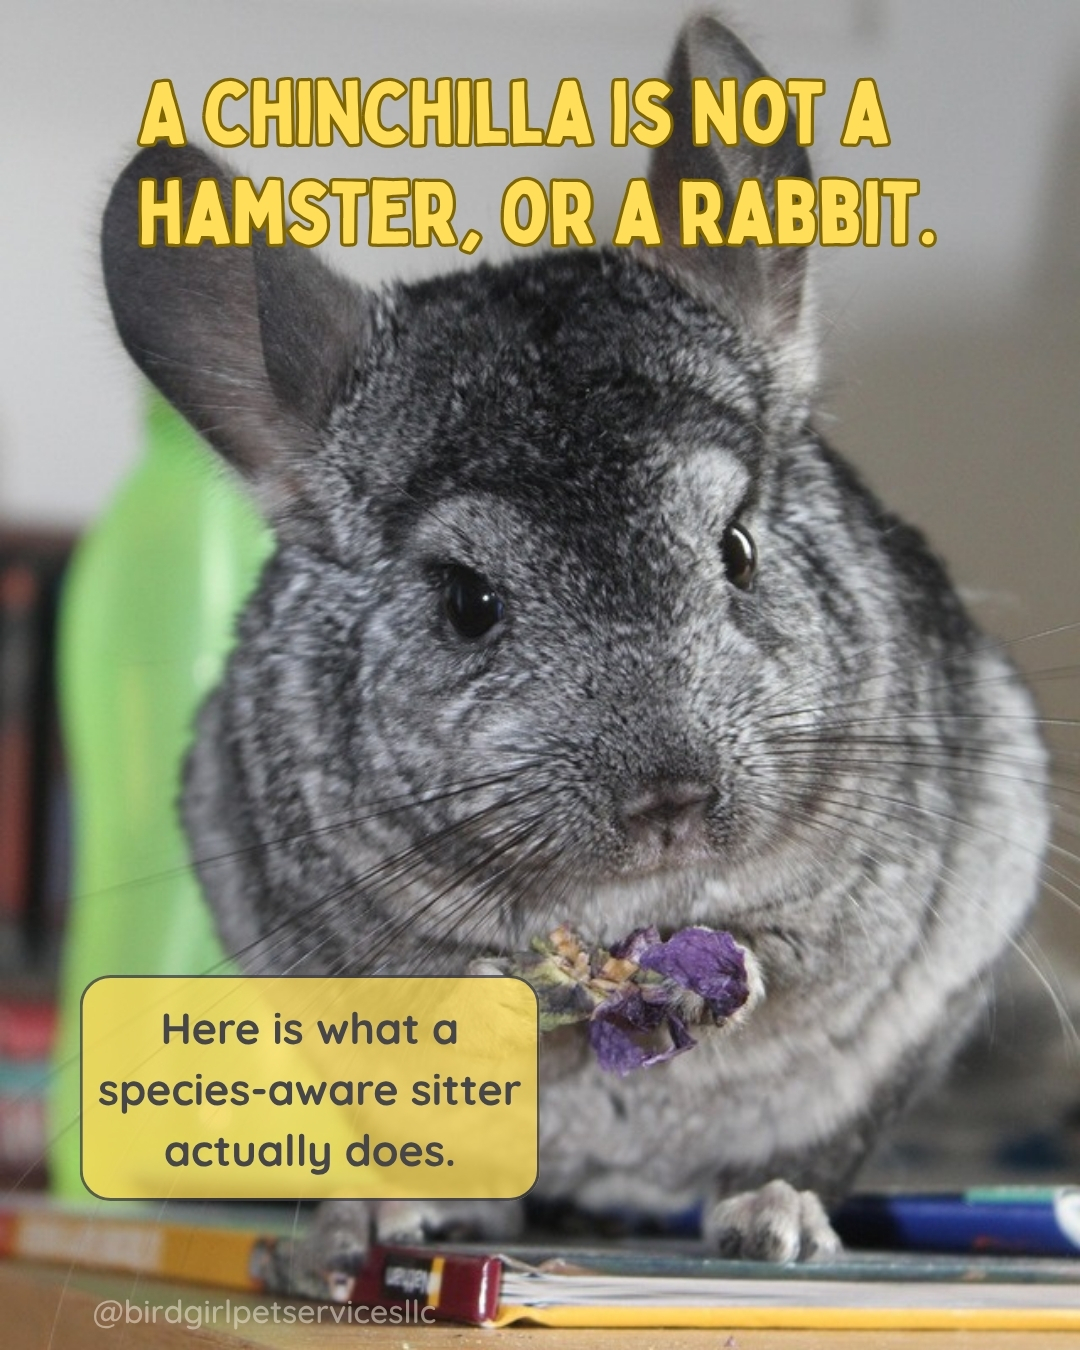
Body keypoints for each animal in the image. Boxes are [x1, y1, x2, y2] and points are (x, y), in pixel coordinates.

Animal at [100, 16, 1048, 1288]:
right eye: (466, 602)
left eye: (738, 547)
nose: (672, 800)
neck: (620, 908)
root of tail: (613, 1190)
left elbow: (785, 951)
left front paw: (713, 982)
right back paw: (369, 1230)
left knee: (794, 1158)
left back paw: (773, 1217)